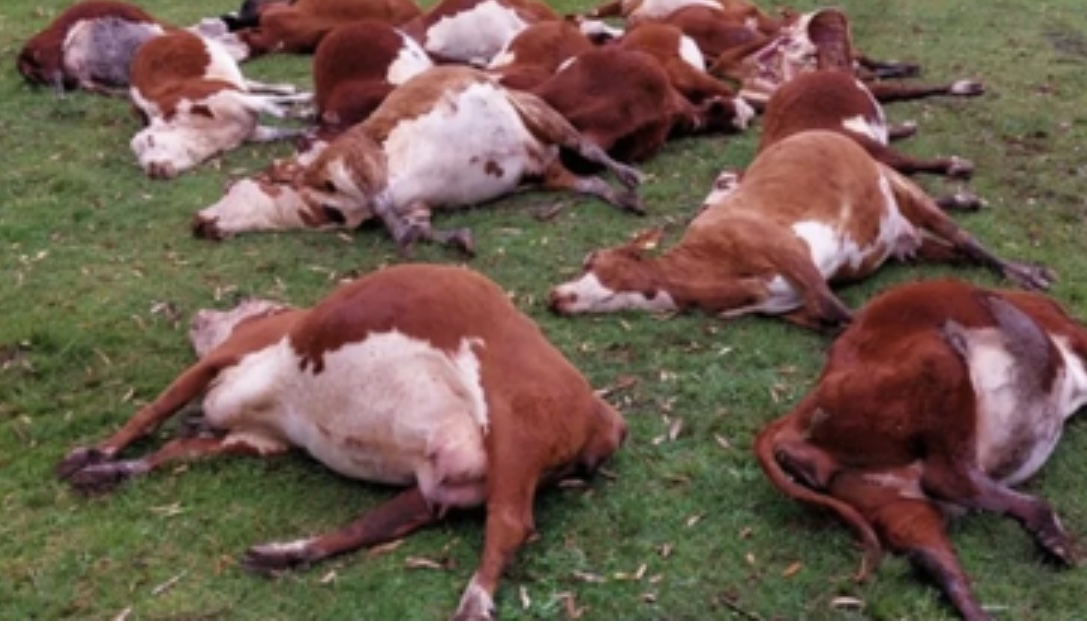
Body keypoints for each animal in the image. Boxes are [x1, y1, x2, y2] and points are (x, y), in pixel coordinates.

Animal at [56, 263, 627, 621]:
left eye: (243, 303)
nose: (198, 315)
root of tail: (606, 414)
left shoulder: (229, 354)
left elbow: (152, 410)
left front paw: (98, 453)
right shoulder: (258, 439)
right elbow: (175, 451)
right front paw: (113, 469)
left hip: (515, 429)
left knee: (510, 523)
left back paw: (474, 600)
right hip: (443, 484)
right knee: (374, 525)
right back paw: (289, 553)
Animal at [129, 29, 311, 179]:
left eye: (151, 141)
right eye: (140, 163)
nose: (152, 169)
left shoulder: (230, 95)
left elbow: (276, 108)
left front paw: (307, 112)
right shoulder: (252, 131)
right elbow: (286, 129)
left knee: (261, 90)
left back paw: (300, 93)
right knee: (254, 87)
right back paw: (292, 89)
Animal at [192, 65, 645, 253]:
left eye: (231, 186)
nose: (199, 221)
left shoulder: (353, 157)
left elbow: (380, 201)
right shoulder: (416, 204)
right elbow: (418, 226)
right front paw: (452, 237)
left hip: (540, 114)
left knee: (589, 148)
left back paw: (629, 177)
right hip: (546, 171)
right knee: (588, 182)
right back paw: (623, 198)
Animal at [548, 131, 1054, 331]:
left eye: (594, 260)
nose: (556, 294)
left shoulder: (788, 250)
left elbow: (840, 312)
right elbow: (827, 316)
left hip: (901, 187)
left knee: (967, 239)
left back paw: (1026, 272)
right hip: (903, 242)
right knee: (954, 251)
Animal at [753, 278, 1087, 620]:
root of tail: (796, 415)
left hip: (897, 505)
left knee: (936, 561)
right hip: (939, 361)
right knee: (946, 478)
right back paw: (1051, 531)